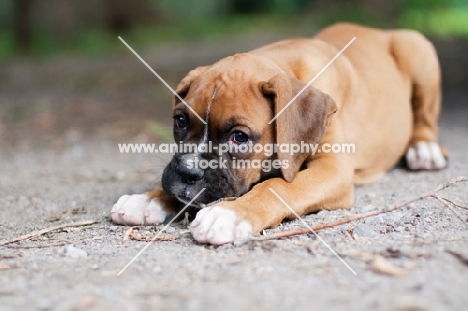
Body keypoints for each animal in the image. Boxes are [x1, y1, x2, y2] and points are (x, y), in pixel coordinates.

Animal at [109, 22, 446, 246]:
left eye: (239, 137)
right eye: (180, 120)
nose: (187, 173)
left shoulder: (332, 171)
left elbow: (277, 187)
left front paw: (230, 214)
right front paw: (149, 199)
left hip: (418, 50)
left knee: (426, 118)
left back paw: (424, 150)